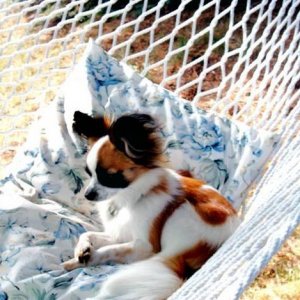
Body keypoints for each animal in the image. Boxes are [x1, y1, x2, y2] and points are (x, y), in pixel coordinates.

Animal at [63, 110, 239, 300]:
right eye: (89, 173)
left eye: (109, 177)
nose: (88, 195)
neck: (131, 198)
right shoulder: (120, 233)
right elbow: (88, 234)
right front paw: (82, 249)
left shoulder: (145, 246)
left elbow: (111, 250)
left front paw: (88, 257)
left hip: (182, 213)